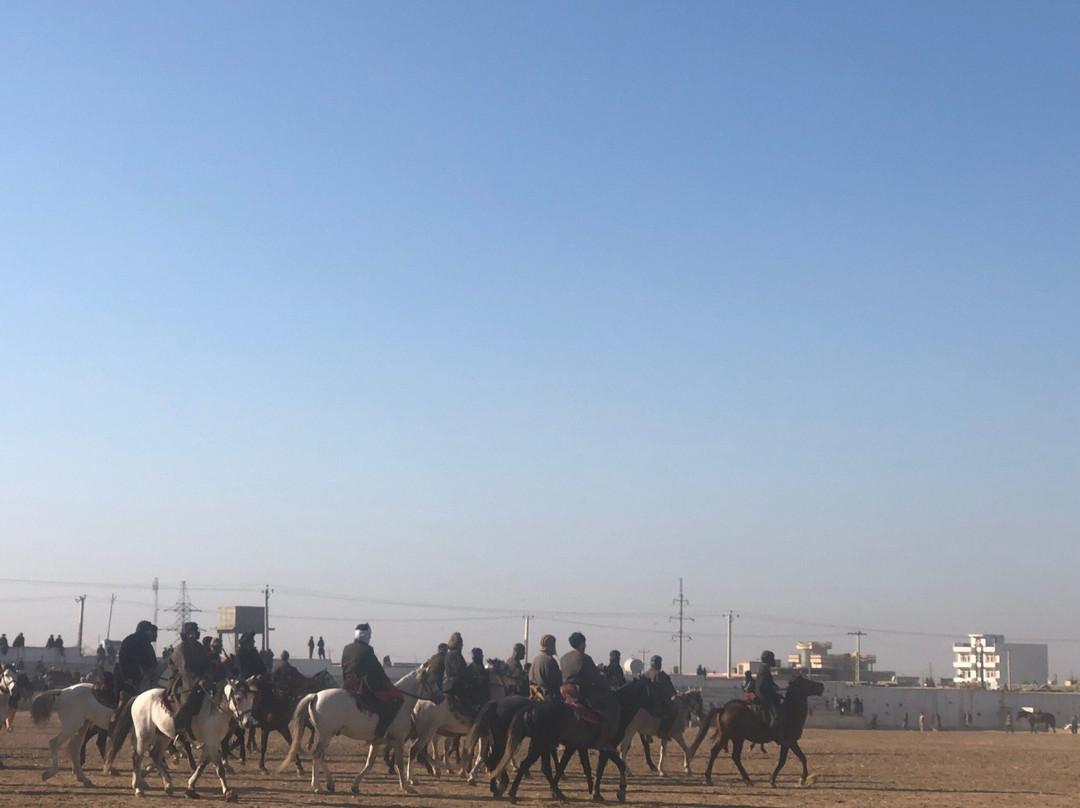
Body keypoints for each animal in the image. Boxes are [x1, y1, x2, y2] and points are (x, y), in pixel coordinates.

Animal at [128, 674, 257, 803]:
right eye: (238, 698)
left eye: (251, 698)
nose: (248, 723)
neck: (216, 710)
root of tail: (139, 697)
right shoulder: (212, 744)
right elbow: (219, 769)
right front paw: (228, 793)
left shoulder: (210, 744)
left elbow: (201, 767)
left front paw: (191, 788)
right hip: (144, 735)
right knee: (137, 757)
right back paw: (138, 788)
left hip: (164, 736)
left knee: (155, 754)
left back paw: (168, 786)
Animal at [282, 669, 442, 795]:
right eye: (433, 681)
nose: (441, 697)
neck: (402, 704)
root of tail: (315, 695)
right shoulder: (398, 741)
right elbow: (400, 764)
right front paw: (406, 787)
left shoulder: (377, 742)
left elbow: (369, 764)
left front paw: (355, 785)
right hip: (327, 735)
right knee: (317, 755)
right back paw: (317, 786)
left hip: (327, 735)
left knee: (321, 756)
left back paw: (330, 783)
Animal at [686, 674, 820, 786]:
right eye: (807, 682)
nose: (821, 686)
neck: (788, 712)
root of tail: (723, 708)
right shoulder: (788, 742)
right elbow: (784, 760)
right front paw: (774, 780)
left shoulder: (792, 742)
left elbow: (802, 757)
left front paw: (803, 778)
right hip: (737, 738)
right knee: (735, 756)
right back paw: (747, 779)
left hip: (725, 736)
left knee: (714, 752)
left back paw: (709, 778)